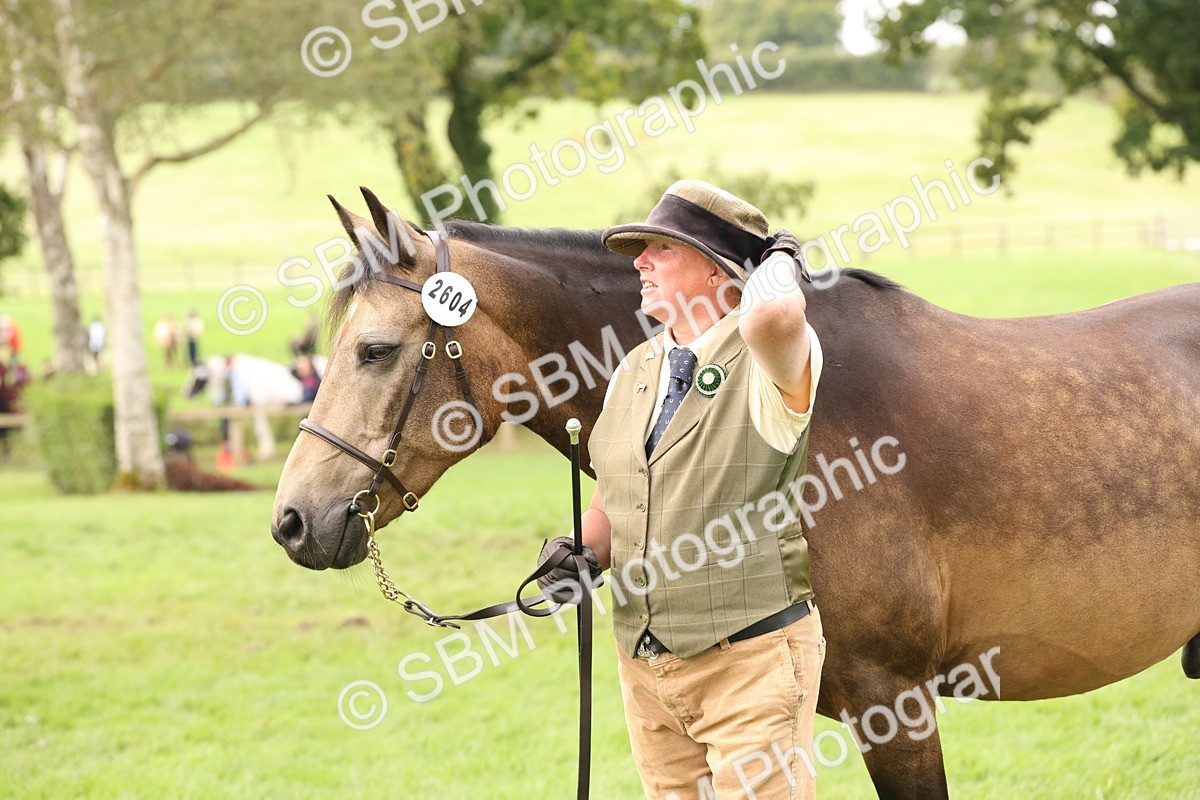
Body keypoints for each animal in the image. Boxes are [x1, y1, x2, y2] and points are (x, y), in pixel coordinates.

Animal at [186, 353, 326, 461]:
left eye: (198, 378)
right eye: (191, 375)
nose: (186, 393)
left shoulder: (258, 409)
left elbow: (261, 430)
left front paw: (265, 452)